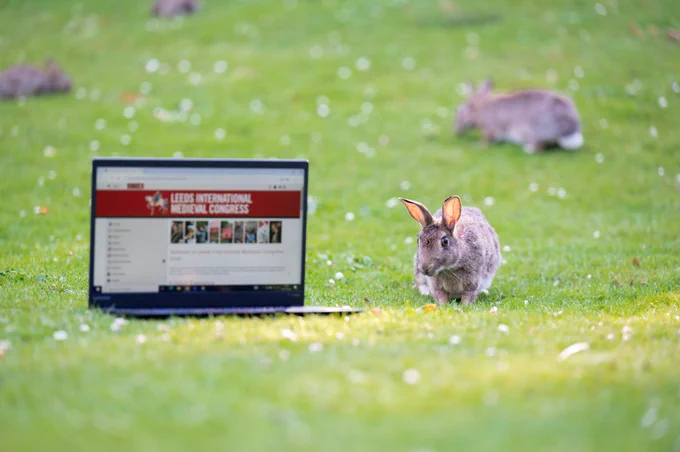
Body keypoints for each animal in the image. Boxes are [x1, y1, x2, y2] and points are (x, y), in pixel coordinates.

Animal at [454, 79, 584, 153]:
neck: (480, 109)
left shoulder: (490, 129)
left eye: (459, 112)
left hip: (528, 132)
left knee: (540, 147)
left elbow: (487, 139)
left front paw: (479, 146)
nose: (456, 131)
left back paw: (528, 149)